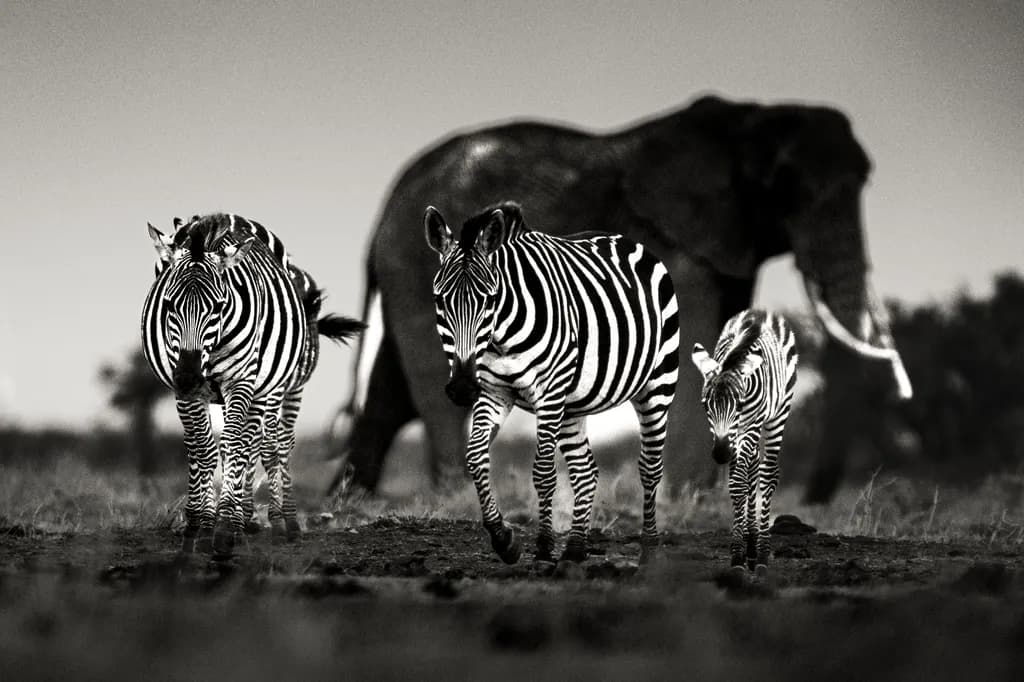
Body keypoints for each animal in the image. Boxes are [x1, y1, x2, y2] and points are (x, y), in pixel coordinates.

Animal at [142, 213, 308, 556]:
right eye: (169, 305)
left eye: (218, 307)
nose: (189, 378)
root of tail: (231, 217)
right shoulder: (184, 390)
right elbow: (202, 449)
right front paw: (198, 527)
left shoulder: (240, 381)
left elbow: (235, 446)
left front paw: (223, 528)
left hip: (266, 388)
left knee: (256, 444)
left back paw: (262, 523)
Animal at [327, 93, 912, 502]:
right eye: (784, 188)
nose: (812, 501)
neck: (746, 121)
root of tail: (386, 209)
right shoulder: (680, 243)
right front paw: (686, 498)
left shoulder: (725, 242)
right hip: (417, 269)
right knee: (431, 380)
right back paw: (450, 494)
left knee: (391, 391)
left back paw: (349, 498)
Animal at [424, 201, 679, 564]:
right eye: (440, 301)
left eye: (489, 300)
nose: (461, 388)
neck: (500, 338)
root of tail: (623, 238)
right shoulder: (493, 392)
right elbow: (475, 457)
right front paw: (503, 538)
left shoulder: (548, 393)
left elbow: (543, 471)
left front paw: (543, 546)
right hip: (572, 404)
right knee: (585, 471)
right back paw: (575, 548)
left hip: (657, 384)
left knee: (649, 467)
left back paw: (649, 550)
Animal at [690, 310, 798, 574]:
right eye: (705, 406)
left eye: (738, 405)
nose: (720, 454)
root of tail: (761, 312)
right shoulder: (731, 438)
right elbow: (737, 484)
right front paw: (739, 553)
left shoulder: (751, 424)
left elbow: (742, 480)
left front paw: (746, 555)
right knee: (752, 469)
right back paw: (751, 546)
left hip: (778, 414)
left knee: (767, 474)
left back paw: (761, 554)